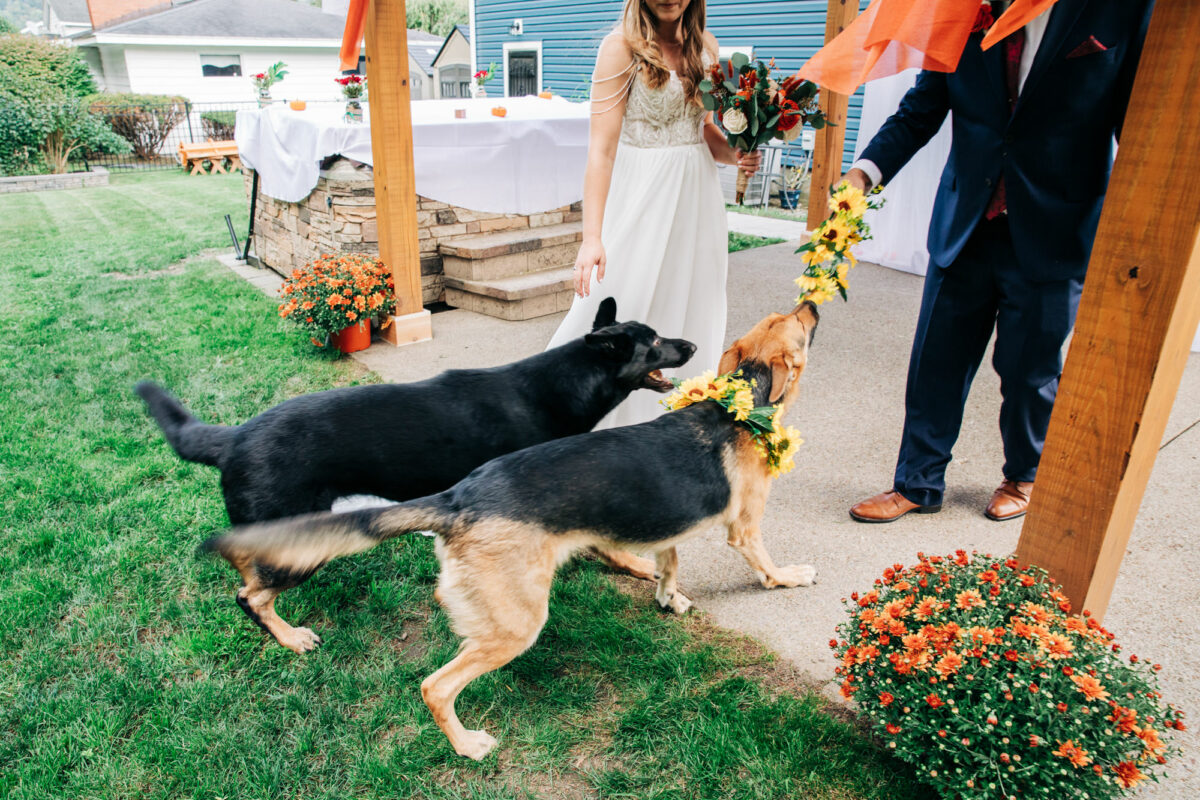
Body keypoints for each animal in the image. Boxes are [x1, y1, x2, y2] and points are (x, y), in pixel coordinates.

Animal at [135, 299, 696, 652]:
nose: (691, 346)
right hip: (298, 542)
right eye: (653, 342)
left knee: (244, 570)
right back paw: (290, 635)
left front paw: (639, 567)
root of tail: (232, 439)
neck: (561, 384)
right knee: (249, 595)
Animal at [208, 302, 825, 762]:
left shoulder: (665, 522)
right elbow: (764, 564)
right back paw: (465, 744)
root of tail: (456, 500)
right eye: (797, 327)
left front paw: (668, 597)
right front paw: (790, 577)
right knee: (431, 684)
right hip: (512, 624)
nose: (813, 304)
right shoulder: (745, 527)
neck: (736, 404)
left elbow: (668, 564)